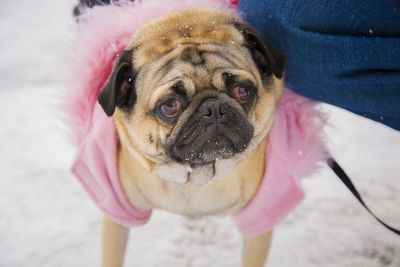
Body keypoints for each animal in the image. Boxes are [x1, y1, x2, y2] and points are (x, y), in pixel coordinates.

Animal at [96, 8, 284, 267]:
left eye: (243, 91)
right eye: (170, 106)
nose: (213, 108)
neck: (194, 175)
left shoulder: (260, 215)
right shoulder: (117, 211)